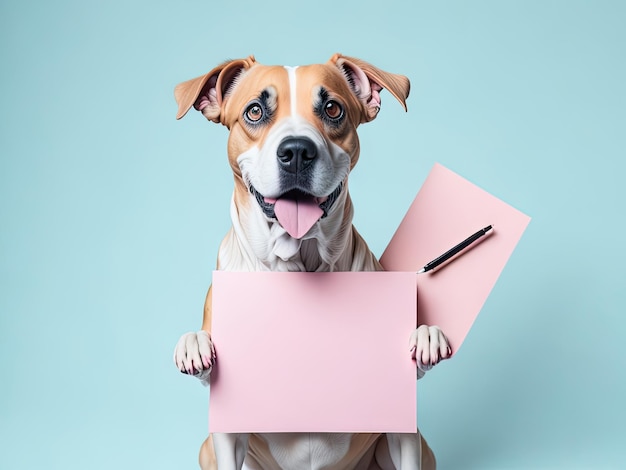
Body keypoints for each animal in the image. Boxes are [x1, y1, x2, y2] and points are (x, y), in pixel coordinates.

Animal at [172, 54, 448, 470]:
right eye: (255, 111)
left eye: (332, 108)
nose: (297, 151)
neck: (297, 264)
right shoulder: (228, 427)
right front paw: (195, 342)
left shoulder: (401, 426)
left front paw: (425, 335)